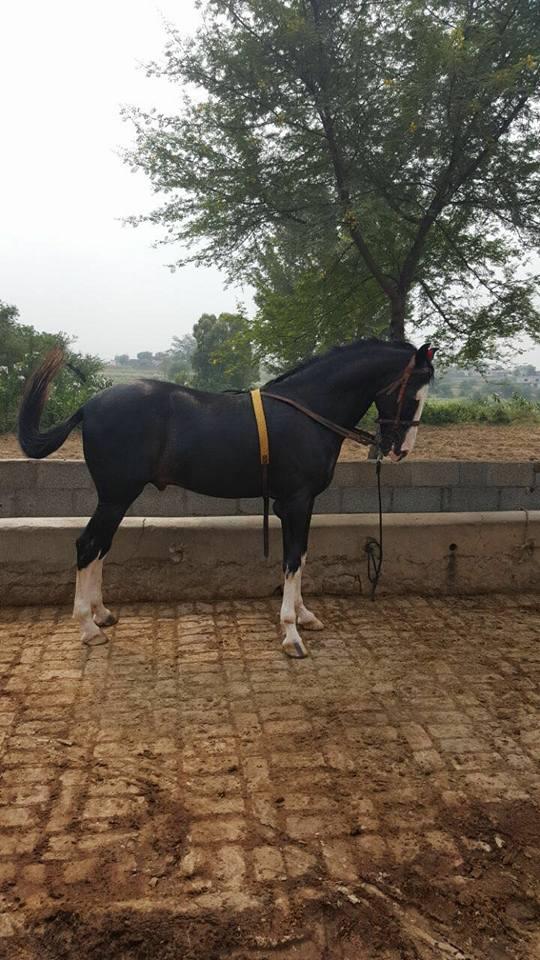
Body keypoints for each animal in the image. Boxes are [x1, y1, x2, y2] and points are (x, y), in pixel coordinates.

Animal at [18, 338, 435, 657]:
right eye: (413, 392)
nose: (401, 449)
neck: (308, 413)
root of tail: (89, 406)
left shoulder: (300, 504)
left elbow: (300, 556)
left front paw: (304, 616)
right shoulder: (295, 502)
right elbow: (291, 562)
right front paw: (291, 634)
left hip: (115, 499)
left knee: (100, 548)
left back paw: (102, 614)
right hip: (115, 497)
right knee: (88, 545)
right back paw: (89, 628)